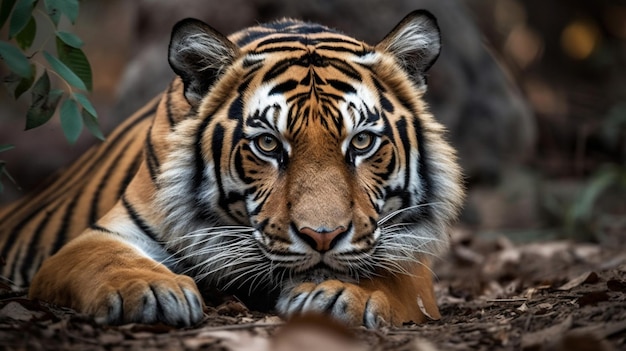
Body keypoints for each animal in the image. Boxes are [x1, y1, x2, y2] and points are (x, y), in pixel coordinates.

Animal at [0, 10, 464, 330]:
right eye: (268, 144)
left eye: (362, 142)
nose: (322, 237)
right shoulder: (96, 238)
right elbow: (107, 259)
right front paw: (151, 290)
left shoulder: (412, 259)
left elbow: (390, 276)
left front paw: (341, 295)